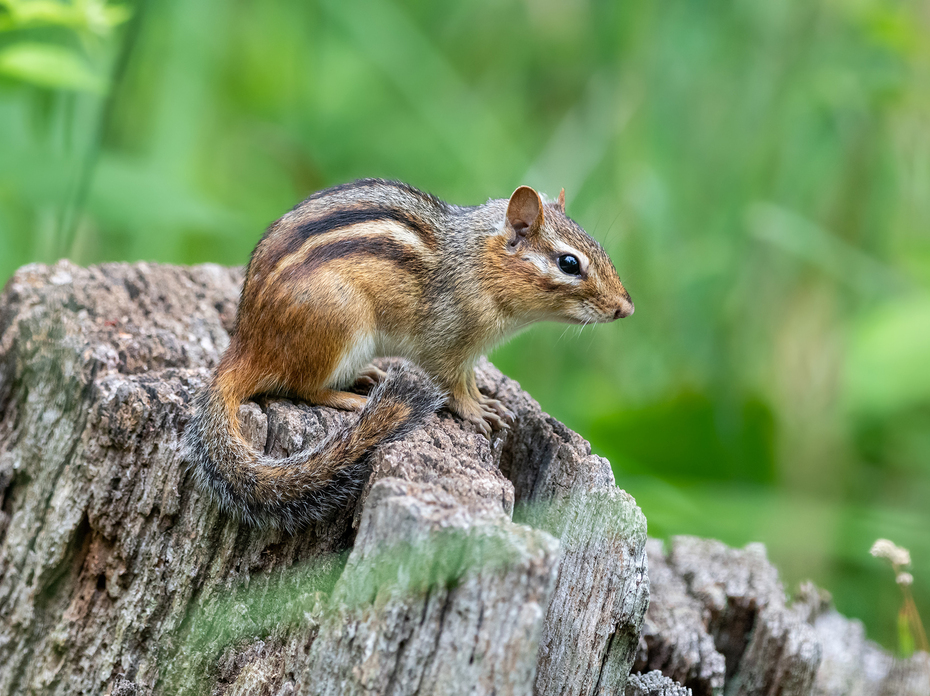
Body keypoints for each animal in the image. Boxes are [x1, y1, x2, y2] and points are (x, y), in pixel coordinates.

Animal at [185, 179, 633, 532]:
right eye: (569, 263)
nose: (626, 309)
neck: (475, 263)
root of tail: (244, 347)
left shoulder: (468, 354)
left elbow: (468, 381)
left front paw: (488, 403)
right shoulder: (445, 345)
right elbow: (452, 387)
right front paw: (475, 412)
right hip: (340, 327)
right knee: (304, 388)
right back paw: (352, 398)